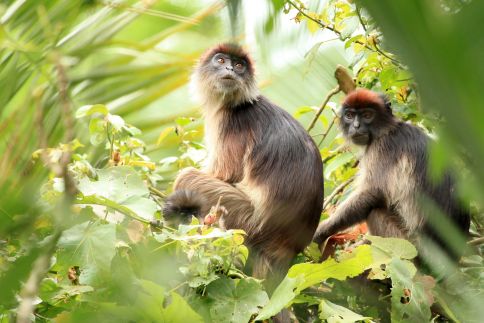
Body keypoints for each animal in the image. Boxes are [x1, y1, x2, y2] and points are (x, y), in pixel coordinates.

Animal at [164, 44, 326, 288]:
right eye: (221, 61)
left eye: (239, 65)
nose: (231, 68)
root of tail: (286, 246)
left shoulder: (230, 123)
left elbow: (225, 174)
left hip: (246, 220)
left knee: (188, 177)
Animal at [314, 88, 468, 260]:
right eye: (349, 115)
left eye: (367, 115)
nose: (356, 126)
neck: (389, 129)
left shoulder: (382, 147)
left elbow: (373, 193)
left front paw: (319, 232)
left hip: (407, 245)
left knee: (374, 212)